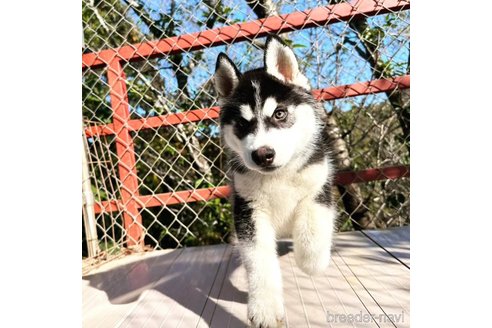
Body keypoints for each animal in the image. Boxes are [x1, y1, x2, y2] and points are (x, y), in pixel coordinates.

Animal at [213, 36, 336, 328]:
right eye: (241, 124)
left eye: (280, 114)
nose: (263, 154)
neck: (278, 176)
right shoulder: (248, 210)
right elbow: (258, 261)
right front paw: (265, 307)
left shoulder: (318, 187)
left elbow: (312, 237)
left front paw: (311, 261)